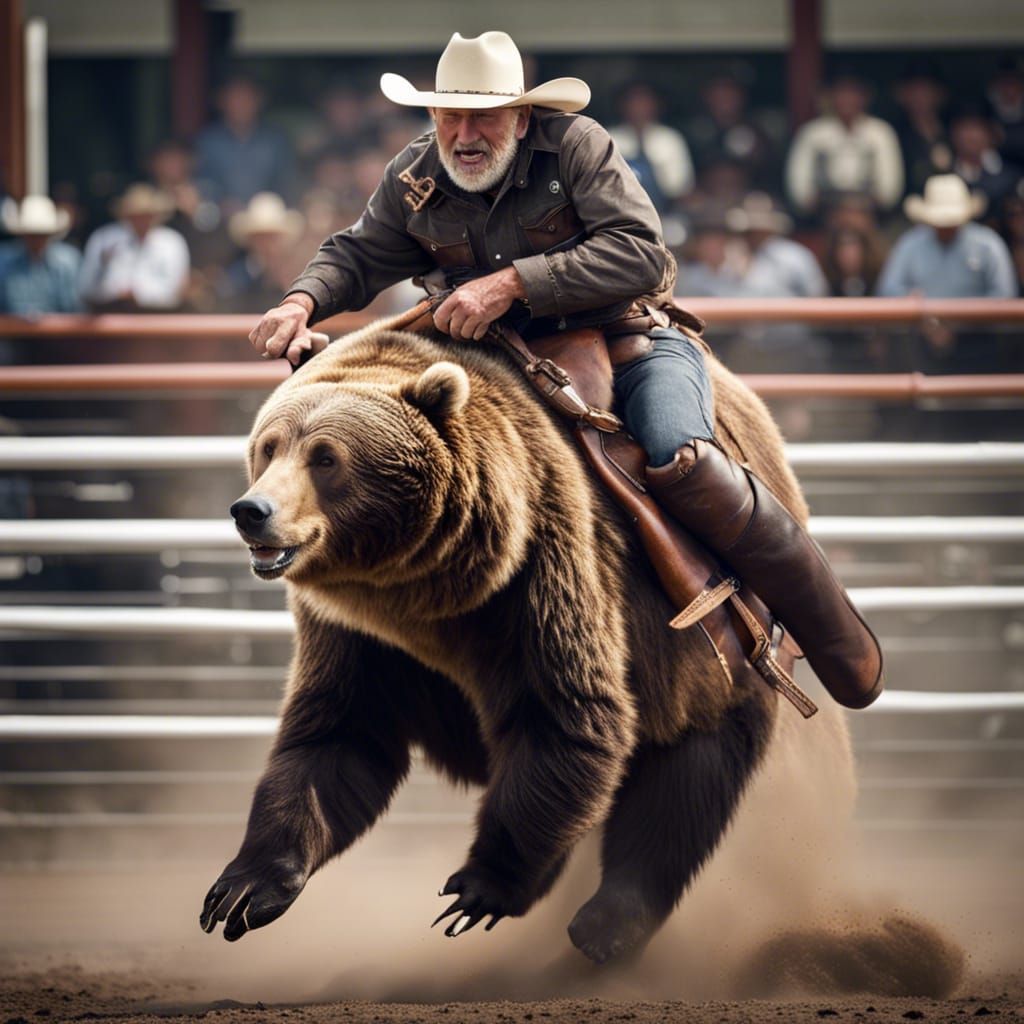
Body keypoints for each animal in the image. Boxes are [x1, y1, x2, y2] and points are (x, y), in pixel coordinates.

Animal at [199, 318, 827, 965]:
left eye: (327, 458)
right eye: (270, 445)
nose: (253, 511)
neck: (427, 591)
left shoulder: (541, 570)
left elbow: (563, 718)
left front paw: (477, 888)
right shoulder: (359, 635)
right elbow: (337, 736)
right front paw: (245, 888)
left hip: (703, 664)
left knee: (680, 791)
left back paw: (607, 923)